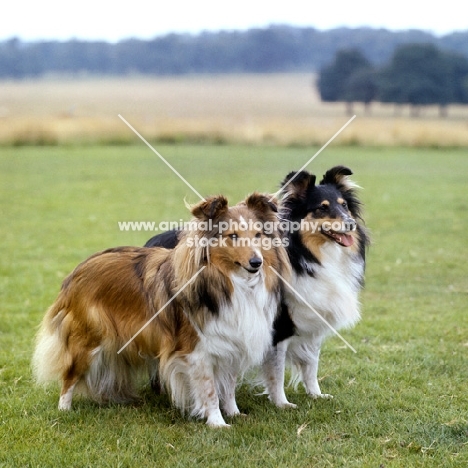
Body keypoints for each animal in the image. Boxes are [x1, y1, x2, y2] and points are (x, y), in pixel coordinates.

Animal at [32, 192, 288, 426]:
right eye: (232, 236)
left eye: (258, 235)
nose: (257, 263)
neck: (229, 282)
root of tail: (78, 270)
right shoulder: (197, 350)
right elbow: (209, 390)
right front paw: (218, 423)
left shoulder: (232, 341)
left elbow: (229, 385)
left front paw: (234, 413)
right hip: (87, 340)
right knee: (69, 376)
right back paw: (64, 410)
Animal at [264, 166, 370, 408]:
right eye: (322, 208)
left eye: (344, 205)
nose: (350, 223)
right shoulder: (279, 329)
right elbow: (276, 371)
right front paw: (282, 404)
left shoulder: (315, 322)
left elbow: (312, 364)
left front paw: (315, 394)